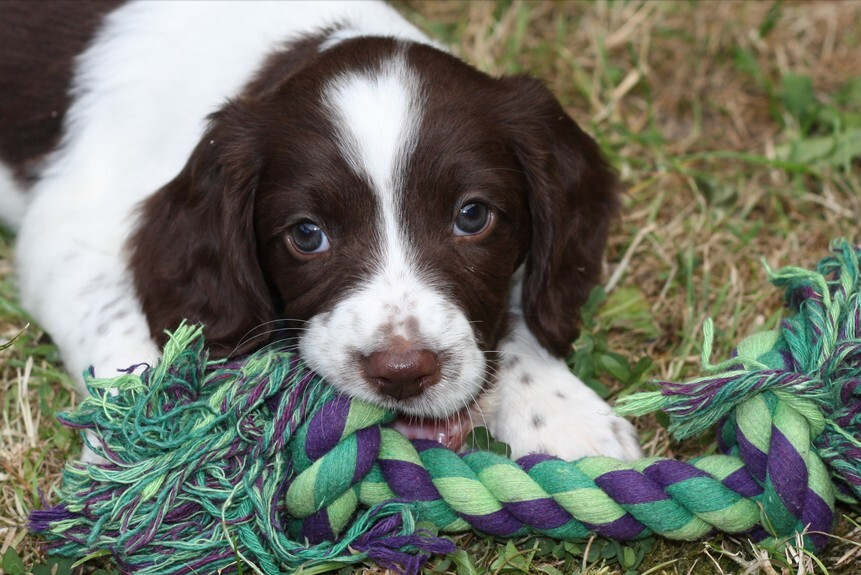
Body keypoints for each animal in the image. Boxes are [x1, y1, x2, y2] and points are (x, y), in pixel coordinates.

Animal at [0, 0, 640, 462]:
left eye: (472, 216)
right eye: (307, 235)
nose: (402, 373)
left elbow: (514, 316)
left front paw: (563, 413)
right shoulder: (68, 232)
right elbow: (123, 330)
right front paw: (141, 442)